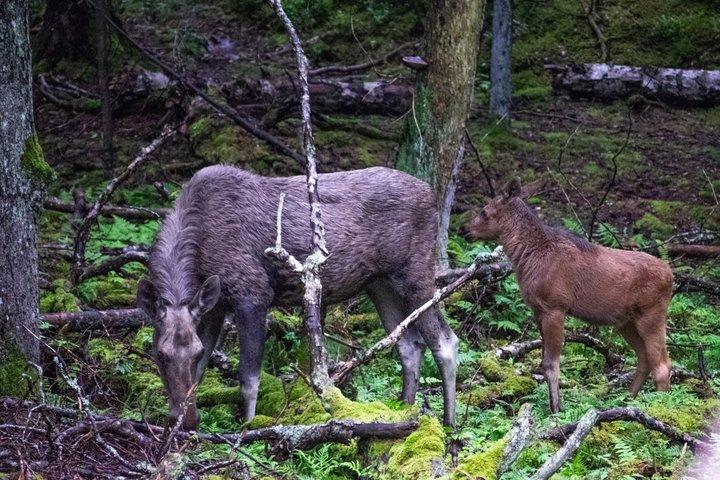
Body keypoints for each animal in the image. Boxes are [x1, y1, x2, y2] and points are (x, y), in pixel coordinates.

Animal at [136, 165, 459, 430]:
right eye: (159, 354)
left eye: (192, 352)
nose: (188, 420)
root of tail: (432, 196)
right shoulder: (215, 307)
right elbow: (203, 372)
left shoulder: (253, 294)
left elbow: (249, 378)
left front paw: (248, 428)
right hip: (380, 284)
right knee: (409, 344)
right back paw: (404, 411)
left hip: (416, 272)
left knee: (445, 341)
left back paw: (449, 424)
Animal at [465, 179, 673, 413]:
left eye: (484, 211)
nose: (464, 230)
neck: (526, 257)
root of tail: (671, 276)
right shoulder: (538, 310)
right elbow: (543, 363)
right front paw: (556, 405)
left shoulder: (555, 307)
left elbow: (551, 364)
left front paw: (556, 410)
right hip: (626, 322)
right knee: (644, 358)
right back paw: (627, 402)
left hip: (651, 315)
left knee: (662, 365)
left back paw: (658, 409)